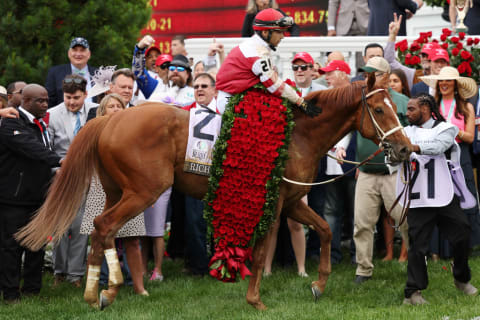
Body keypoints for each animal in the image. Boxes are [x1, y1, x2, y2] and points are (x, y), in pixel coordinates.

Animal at [15, 73, 412, 310]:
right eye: (380, 109)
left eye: (397, 106)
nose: (406, 149)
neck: (298, 133)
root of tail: (111, 116)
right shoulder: (276, 203)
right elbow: (262, 249)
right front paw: (255, 299)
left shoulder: (293, 201)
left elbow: (327, 230)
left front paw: (318, 283)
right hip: (144, 191)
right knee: (104, 226)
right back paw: (106, 289)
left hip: (118, 191)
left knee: (104, 230)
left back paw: (99, 291)